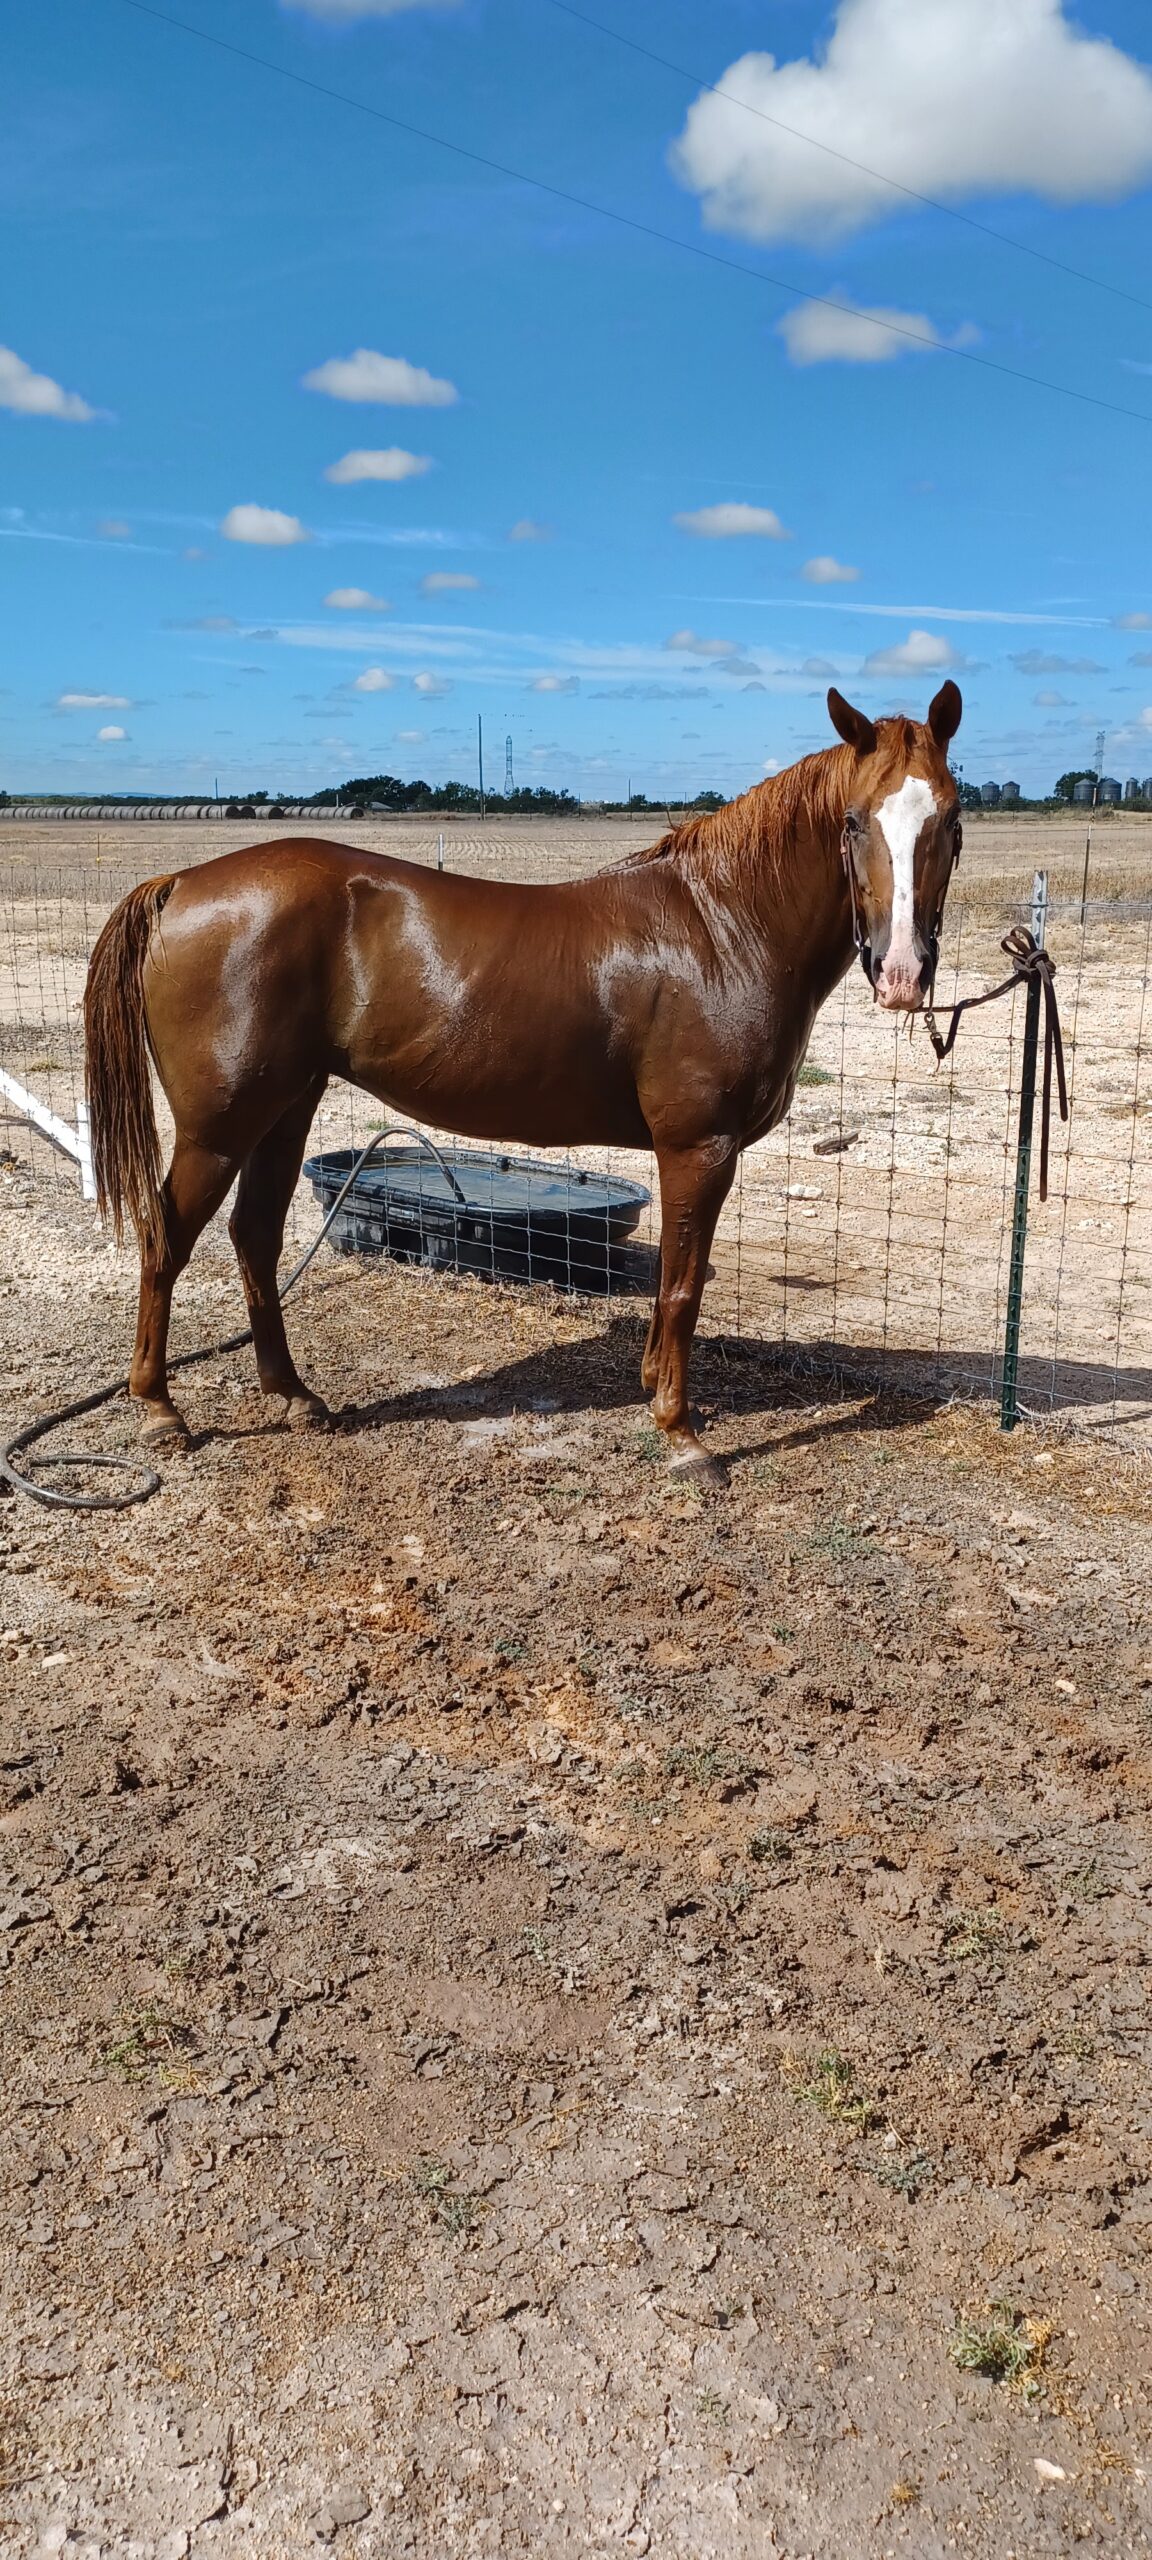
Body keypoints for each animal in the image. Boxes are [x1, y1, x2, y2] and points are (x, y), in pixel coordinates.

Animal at [83, 681, 962, 1475]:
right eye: (853, 822)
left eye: (950, 821)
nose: (902, 974)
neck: (722, 928)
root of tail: (180, 886)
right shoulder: (699, 1148)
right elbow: (683, 1288)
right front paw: (680, 1433)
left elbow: (674, 1282)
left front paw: (655, 1389)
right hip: (218, 1126)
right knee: (167, 1239)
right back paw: (160, 1409)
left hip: (285, 1107)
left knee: (255, 1237)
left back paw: (295, 1396)